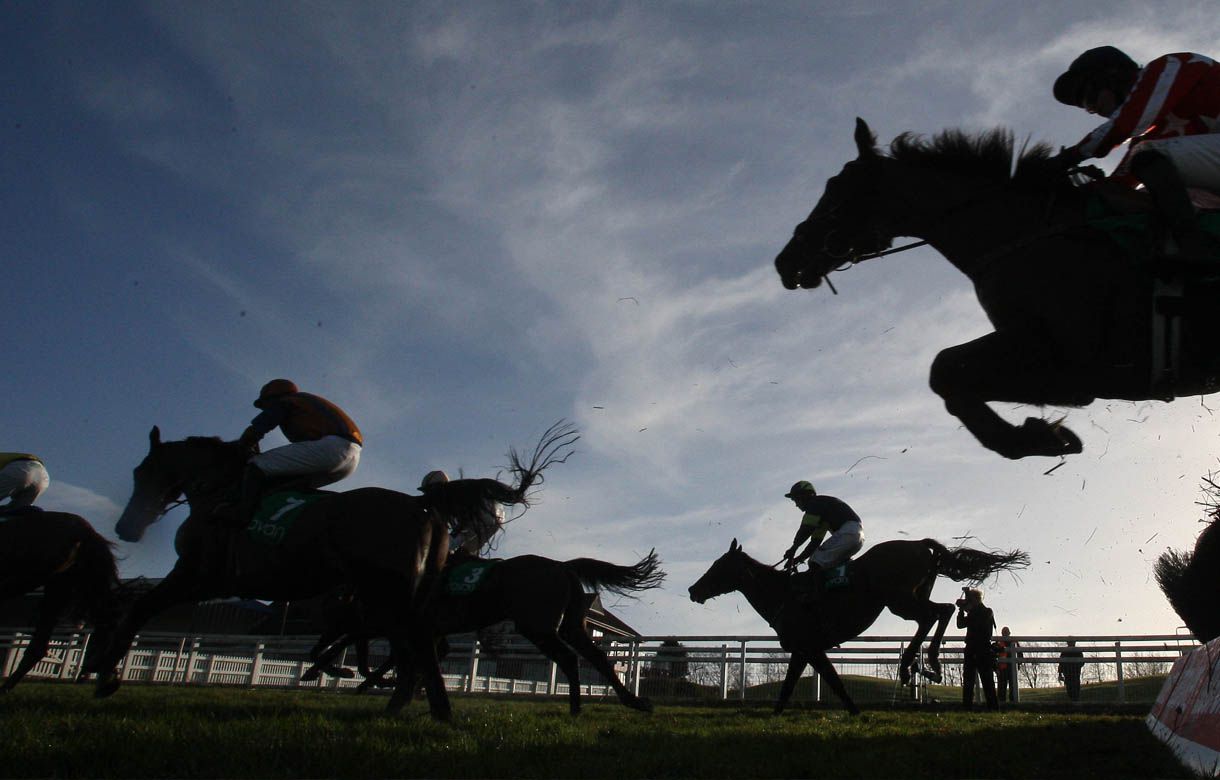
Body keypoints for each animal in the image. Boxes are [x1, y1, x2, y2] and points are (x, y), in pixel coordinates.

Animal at [692, 539, 1024, 717]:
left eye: (719, 566)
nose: (693, 590)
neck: (783, 594)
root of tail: (919, 545)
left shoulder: (807, 647)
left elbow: (817, 683)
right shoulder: (807, 651)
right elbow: (813, 683)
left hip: (899, 600)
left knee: (938, 613)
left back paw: (917, 663)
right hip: (911, 597)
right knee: (940, 612)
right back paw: (924, 664)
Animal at [771, 119, 1220, 461]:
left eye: (836, 188)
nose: (785, 261)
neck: (1028, 234)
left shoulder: (1081, 368)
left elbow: (944, 370)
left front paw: (1037, 436)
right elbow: (948, 376)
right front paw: (1042, 436)